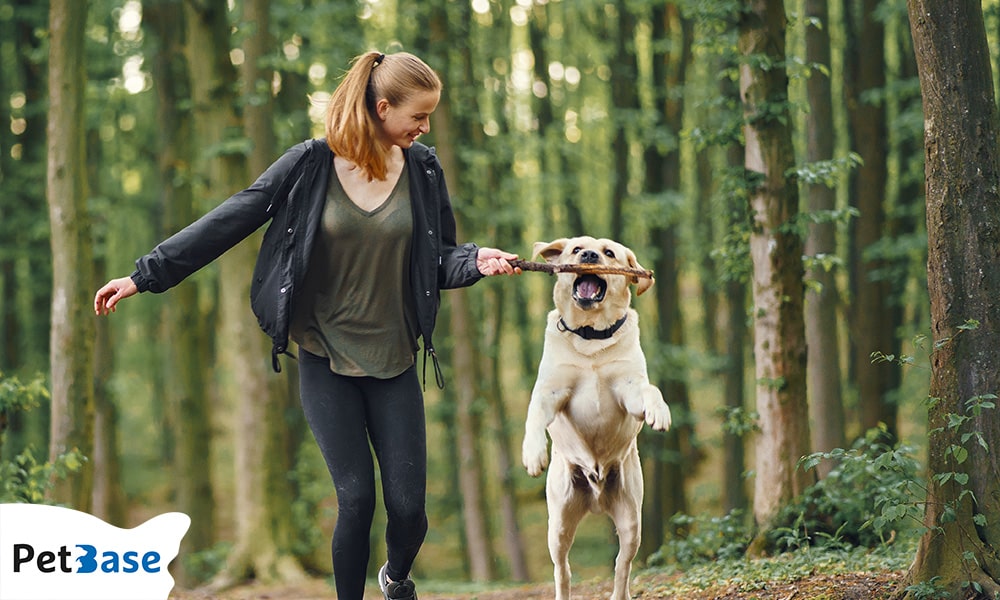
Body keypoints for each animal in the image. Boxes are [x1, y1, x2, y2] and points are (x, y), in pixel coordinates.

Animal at [524, 237, 672, 600]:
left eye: (609, 253)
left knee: (622, 566)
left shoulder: (629, 391)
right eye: (576, 249)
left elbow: (650, 390)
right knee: (562, 570)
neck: (590, 336)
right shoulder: (550, 392)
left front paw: (659, 411)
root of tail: (596, 498)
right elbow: (535, 415)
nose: (589, 255)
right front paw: (533, 454)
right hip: (559, 524)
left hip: (632, 520)